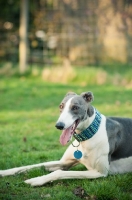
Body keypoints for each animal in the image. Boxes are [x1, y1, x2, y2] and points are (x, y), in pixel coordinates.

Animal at [0, 91, 132, 187]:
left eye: (75, 107)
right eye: (61, 106)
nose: (59, 125)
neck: (89, 134)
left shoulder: (100, 172)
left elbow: (58, 172)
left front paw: (36, 180)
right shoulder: (64, 162)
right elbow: (30, 166)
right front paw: (4, 172)